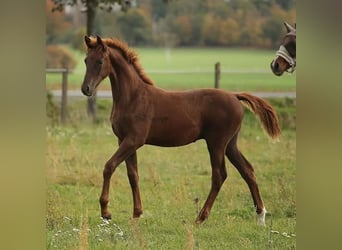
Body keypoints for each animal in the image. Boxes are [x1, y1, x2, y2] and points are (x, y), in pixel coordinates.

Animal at [81, 36, 280, 226]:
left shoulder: (134, 140)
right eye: (85, 60)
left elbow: (109, 166)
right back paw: (260, 216)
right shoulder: (124, 140)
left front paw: (106, 213)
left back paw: (200, 218)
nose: (86, 89)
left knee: (219, 175)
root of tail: (234, 96)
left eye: (100, 61)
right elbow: (133, 175)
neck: (133, 97)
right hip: (230, 144)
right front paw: (136, 215)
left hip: (216, 143)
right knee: (247, 170)